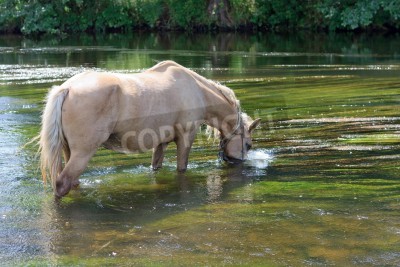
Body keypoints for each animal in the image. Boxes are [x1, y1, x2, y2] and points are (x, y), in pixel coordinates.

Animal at [39, 61, 260, 199]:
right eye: (248, 144)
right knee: (62, 183)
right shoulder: (185, 138)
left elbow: (156, 167)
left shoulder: (161, 143)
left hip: (69, 151)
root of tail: (67, 88)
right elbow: (182, 168)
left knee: (71, 182)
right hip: (83, 152)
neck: (197, 91)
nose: (237, 164)